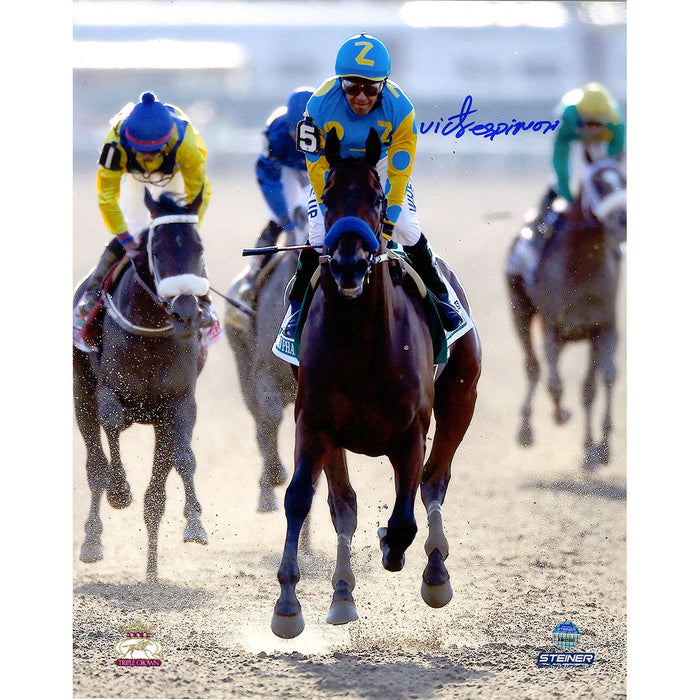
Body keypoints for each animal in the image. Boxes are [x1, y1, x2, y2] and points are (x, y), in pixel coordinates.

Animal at [73, 189, 212, 584]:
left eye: (199, 249)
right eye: (157, 252)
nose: (186, 313)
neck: (151, 333)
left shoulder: (179, 403)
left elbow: (183, 458)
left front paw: (195, 524)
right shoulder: (107, 391)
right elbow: (111, 424)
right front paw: (120, 492)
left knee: (155, 496)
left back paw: (151, 573)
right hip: (79, 393)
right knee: (95, 464)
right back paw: (93, 542)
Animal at [270, 129, 482, 636]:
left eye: (377, 198)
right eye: (327, 198)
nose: (349, 263)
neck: (360, 344)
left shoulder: (411, 433)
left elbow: (405, 518)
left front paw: (394, 546)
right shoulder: (314, 424)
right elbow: (300, 498)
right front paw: (288, 604)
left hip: (461, 398)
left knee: (434, 482)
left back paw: (436, 572)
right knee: (344, 505)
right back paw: (343, 595)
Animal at [506, 156, 628, 468]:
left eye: (624, 179)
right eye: (597, 183)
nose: (623, 220)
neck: (582, 264)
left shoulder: (603, 328)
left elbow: (598, 383)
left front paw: (599, 448)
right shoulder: (552, 326)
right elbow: (555, 384)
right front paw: (562, 415)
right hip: (520, 313)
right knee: (534, 367)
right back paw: (525, 430)